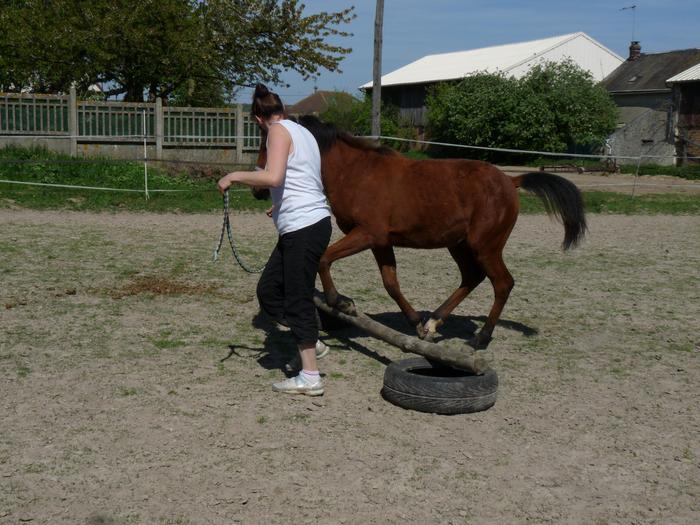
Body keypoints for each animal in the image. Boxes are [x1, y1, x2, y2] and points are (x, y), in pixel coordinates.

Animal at [253, 116, 584, 350]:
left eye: (269, 144)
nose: (259, 189)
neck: (357, 172)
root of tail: (510, 182)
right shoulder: (381, 242)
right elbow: (391, 283)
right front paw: (414, 322)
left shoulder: (368, 234)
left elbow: (324, 258)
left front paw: (340, 302)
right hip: (459, 245)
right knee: (472, 277)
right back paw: (433, 323)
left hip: (485, 246)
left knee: (503, 283)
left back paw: (481, 338)